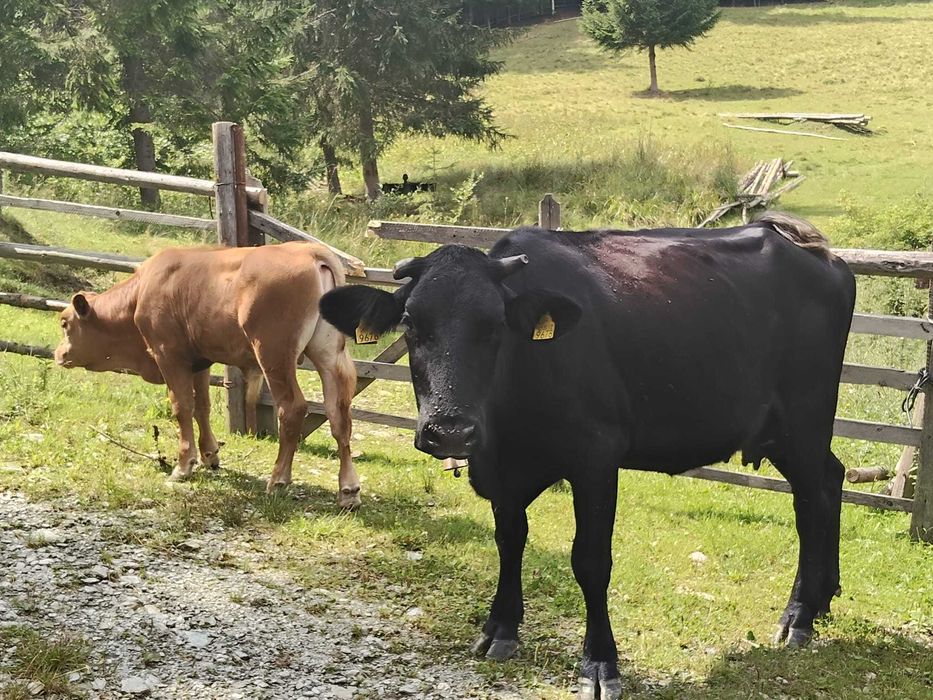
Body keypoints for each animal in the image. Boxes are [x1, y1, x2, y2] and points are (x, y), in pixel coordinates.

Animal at [54, 241, 362, 509]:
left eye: (64, 323)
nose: (58, 354)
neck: (140, 294)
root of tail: (310, 251)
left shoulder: (169, 356)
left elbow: (182, 407)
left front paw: (183, 465)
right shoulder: (199, 360)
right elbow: (202, 406)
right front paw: (209, 455)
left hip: (274, 354)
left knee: (293, 408)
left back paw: (278, 480)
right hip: (329, 354)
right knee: (338, 414)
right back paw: (348, 490)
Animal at [319, 212, 856, 699]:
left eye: (494, 324)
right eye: (411, 324)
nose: (450, 431)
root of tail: (807, 245)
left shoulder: (596, 457)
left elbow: (591, 560)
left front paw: (600, 663)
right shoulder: (502, 471)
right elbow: (509, 541)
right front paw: (500, 628)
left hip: (804, 419)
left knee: (812, 499)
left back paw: (798, 616)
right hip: (785, 433)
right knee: (829, 483)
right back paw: (821, 599)